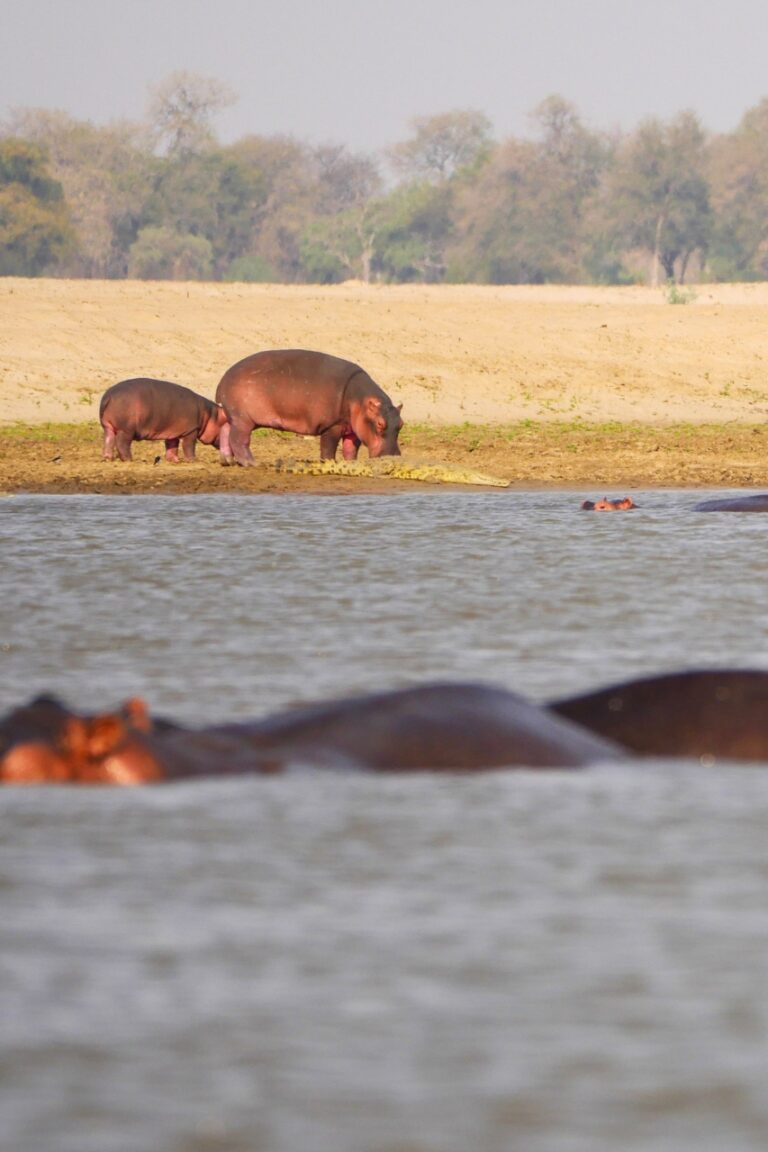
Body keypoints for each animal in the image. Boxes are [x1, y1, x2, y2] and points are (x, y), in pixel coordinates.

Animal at [100, 378, 228, 462]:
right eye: (227, 423)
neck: (209, 415)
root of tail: (108, 396)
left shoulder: (173, 431)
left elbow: (172, 445)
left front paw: (174, 460)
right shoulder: (192, 430)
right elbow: (188, 445)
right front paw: (192, 460)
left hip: (108, 426)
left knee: (108, 439)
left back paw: (108, 458)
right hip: (126, 429)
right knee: (122, 443)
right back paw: (129, 459)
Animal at [215, 349, 403, 466]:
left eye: (401, 424)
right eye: (380, 424)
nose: (393, 457)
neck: (360, 399)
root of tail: (223, 378)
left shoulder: (353, 428)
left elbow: (350, 449)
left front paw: (352, 464)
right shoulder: (332, 426)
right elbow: (328, 447)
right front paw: (330, 463)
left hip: (232, 416)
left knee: (224, 430)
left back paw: (227, 461)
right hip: (242, 419)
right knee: (239, 439)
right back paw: (252, 463)